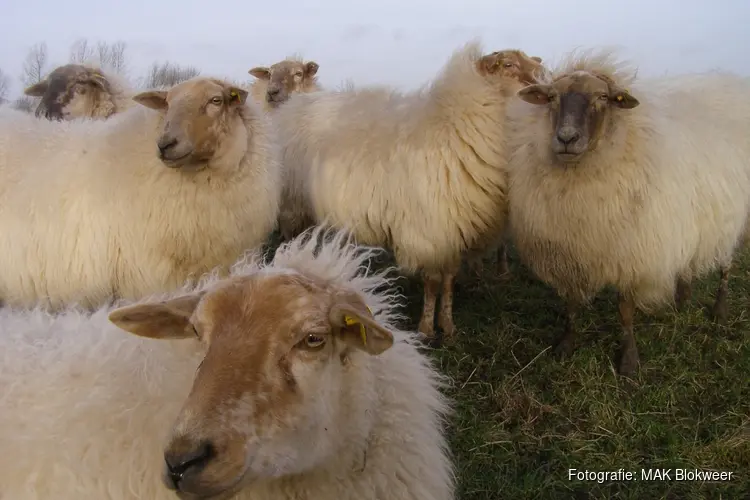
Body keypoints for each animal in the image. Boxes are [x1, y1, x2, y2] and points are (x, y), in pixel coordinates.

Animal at [274, 42, 544, 340]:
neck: (454, 128)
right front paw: (426, 329)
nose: (544, 82)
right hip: (293, 203)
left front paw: (447, 325)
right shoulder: (429, 231)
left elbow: (448, 281)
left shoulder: (452, 230)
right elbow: (433, 282)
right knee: (291, 238)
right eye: (508, 65)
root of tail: (292, 106)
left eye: (535, 63)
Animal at [508, 49, 750, 376]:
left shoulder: (632, 252)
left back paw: (719, 309)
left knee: (726, 262)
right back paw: (682, 298)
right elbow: (571, 304)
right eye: (552, 97)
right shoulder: (570, 250)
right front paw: (566, 344)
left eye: (602, 97)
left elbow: (625, 310)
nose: (567, 138)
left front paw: (628, 360)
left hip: (733, 216)